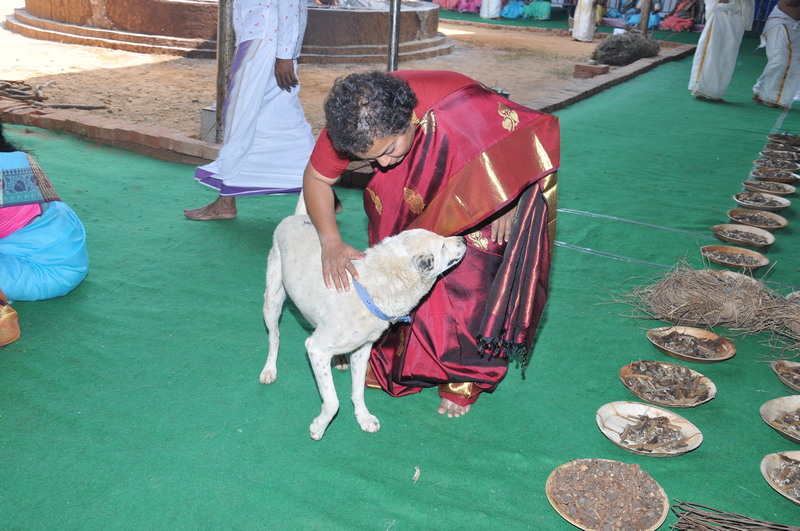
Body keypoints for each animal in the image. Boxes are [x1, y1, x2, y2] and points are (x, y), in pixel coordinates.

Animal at [260, 215, 466, 440]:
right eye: (442, 245)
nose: (464, 240)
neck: (373, 291)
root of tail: (298, 216)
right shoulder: (316, 350)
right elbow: (332, 402)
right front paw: (318, 428)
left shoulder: (362, 349)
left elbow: (358, 391)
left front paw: (364, 417)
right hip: (273, 300)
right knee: (274, 339)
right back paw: (269, 369)